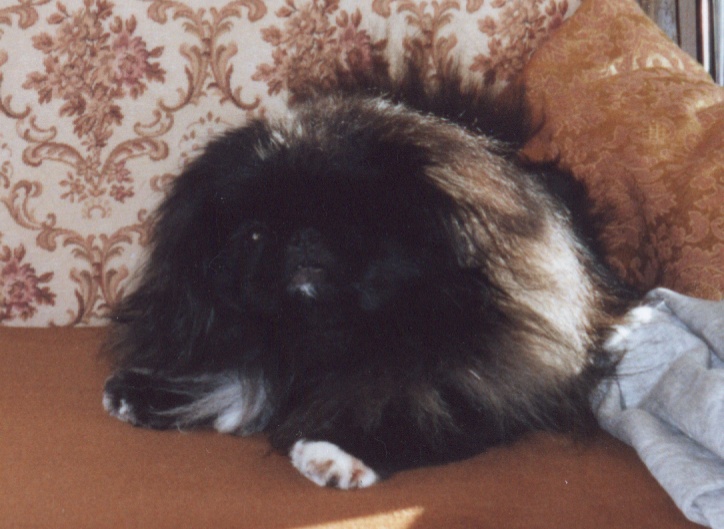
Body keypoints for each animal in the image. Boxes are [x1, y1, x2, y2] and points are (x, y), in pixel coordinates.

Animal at [102, 69, 632, 486]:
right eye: (253, 235)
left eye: (351, 222)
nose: (302, 237)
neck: (329, 335)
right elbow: (237, 375)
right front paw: (142, 392)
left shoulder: (495, 385)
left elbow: (421, 415)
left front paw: (337, 452)